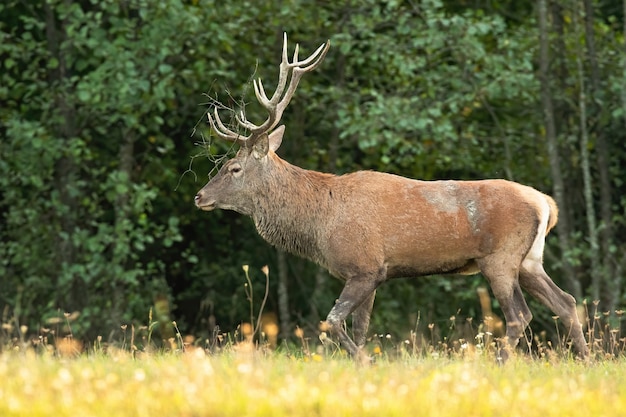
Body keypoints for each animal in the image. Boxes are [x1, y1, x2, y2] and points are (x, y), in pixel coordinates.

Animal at [194, 34, 584, 362]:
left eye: (234, 168)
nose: (199, 196)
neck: (319, 222)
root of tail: (546, 204)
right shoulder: (369, 273)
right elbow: (360, 328)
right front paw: (360, 363)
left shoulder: (365, 266)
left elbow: (332, 322)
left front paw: (364, 361)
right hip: (529, 260)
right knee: (566, 302)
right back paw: (587, 359)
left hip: (500, 258)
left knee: (520, 314)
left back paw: (501, 363)